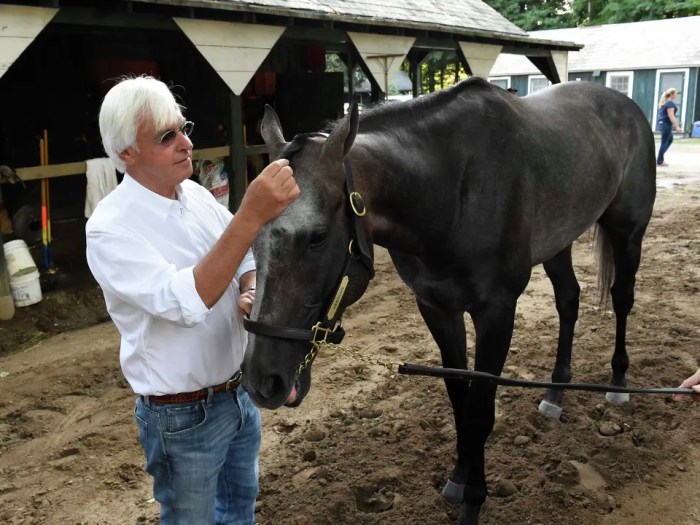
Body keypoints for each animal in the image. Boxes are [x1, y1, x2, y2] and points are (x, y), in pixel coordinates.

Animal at [241, 77, 656, 524]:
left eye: (316, 237)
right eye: (248, 232)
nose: (261, 381)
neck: (450, 192)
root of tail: (625, 106)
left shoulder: (497, 312)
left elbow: (479, 411)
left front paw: (474, 502)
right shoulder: (438, 308)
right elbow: (459, 397)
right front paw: (459, 478)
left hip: (628, 232)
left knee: (622, 299)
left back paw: (617, 383)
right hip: (559, 243)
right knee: (569, 301)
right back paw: (556, 393)